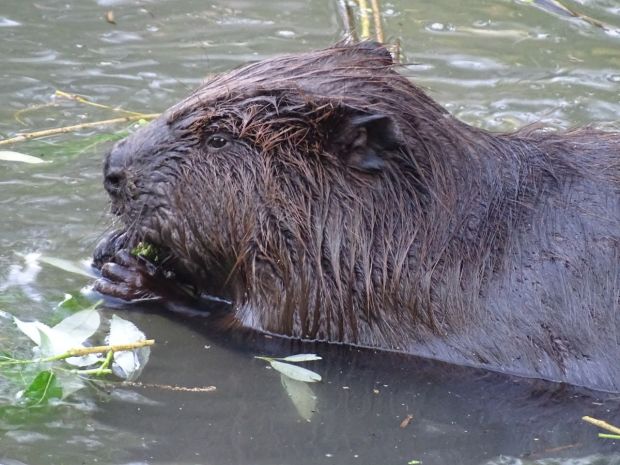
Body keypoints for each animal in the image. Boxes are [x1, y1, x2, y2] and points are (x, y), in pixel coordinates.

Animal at [92, 42, 620, 392]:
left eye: (219, 139)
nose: (113, 168)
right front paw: (111, 247)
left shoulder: (324, 298)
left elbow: (252, 330)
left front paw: (136, 277)